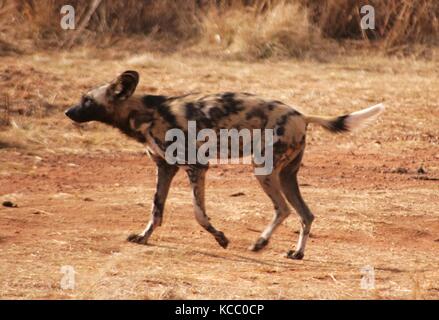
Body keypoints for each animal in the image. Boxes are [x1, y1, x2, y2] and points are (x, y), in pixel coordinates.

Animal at [65, 70, 384, 260]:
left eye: (87, 100)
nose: (68, 112)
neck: (146, 112)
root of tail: (302, 115)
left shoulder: (196, 167)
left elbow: (199, 215)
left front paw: (221, 239)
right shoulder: (165, 168)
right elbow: (156, 210)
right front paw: (143, 238)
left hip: (263, 171)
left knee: (283, 209)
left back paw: (261, 243)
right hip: (286, 176)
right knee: (306, 214)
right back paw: (295, 253)